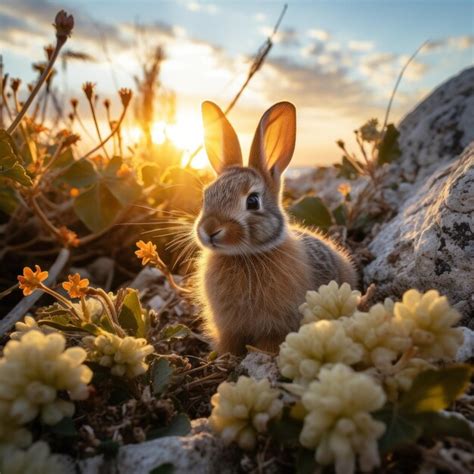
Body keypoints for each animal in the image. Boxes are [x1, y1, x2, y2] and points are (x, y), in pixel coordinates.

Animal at [193, 100, 356, 354]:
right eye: (205, 196)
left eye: (252, 201)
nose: (209, 230)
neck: (243, 256)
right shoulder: (228, 328)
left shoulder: (276, 324)